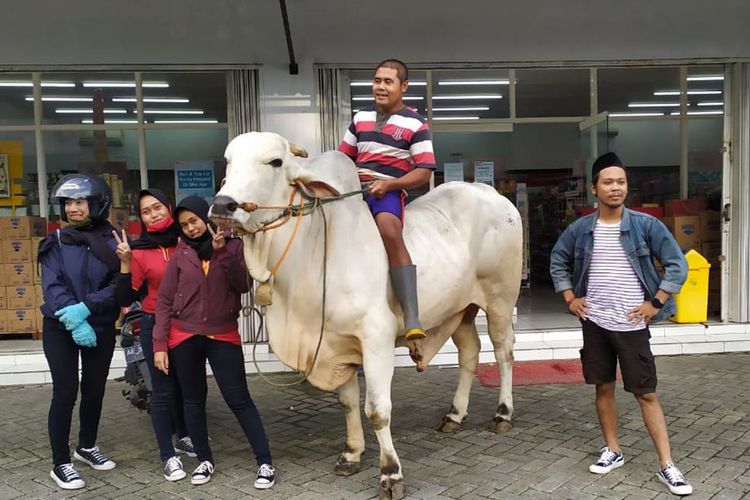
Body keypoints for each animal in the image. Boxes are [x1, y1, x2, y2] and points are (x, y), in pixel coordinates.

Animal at [212, 131, 524, 498]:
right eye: (228, 161)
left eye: (275, 162)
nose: (222, 205)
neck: (318, 251)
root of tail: (492, 194)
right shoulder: (336, 344)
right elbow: (348, 403)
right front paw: (350, 454)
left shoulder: (375, 339)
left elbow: (376, 409)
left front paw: (391, 473)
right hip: (460, 308)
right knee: (470, 352)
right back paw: (455, 415)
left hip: (500, 299)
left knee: (503, 351)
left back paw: (503, 414)